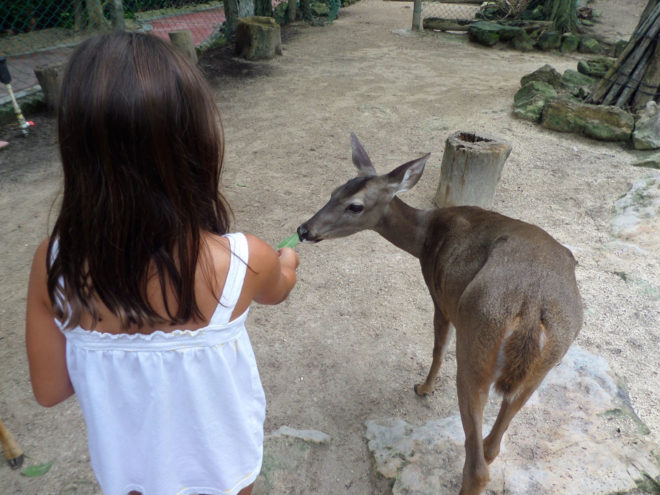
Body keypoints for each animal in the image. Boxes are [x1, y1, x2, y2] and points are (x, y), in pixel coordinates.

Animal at [300, 134, 584, 494]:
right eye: (334, 191)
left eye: (355, 205)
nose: (304, 229)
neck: (423, 238)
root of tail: (532, 308)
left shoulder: (440, 297)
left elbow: (438, 347)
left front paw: (424, 387)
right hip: (542, 368)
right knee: (493, 445)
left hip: (476, 346)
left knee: (476, 464)